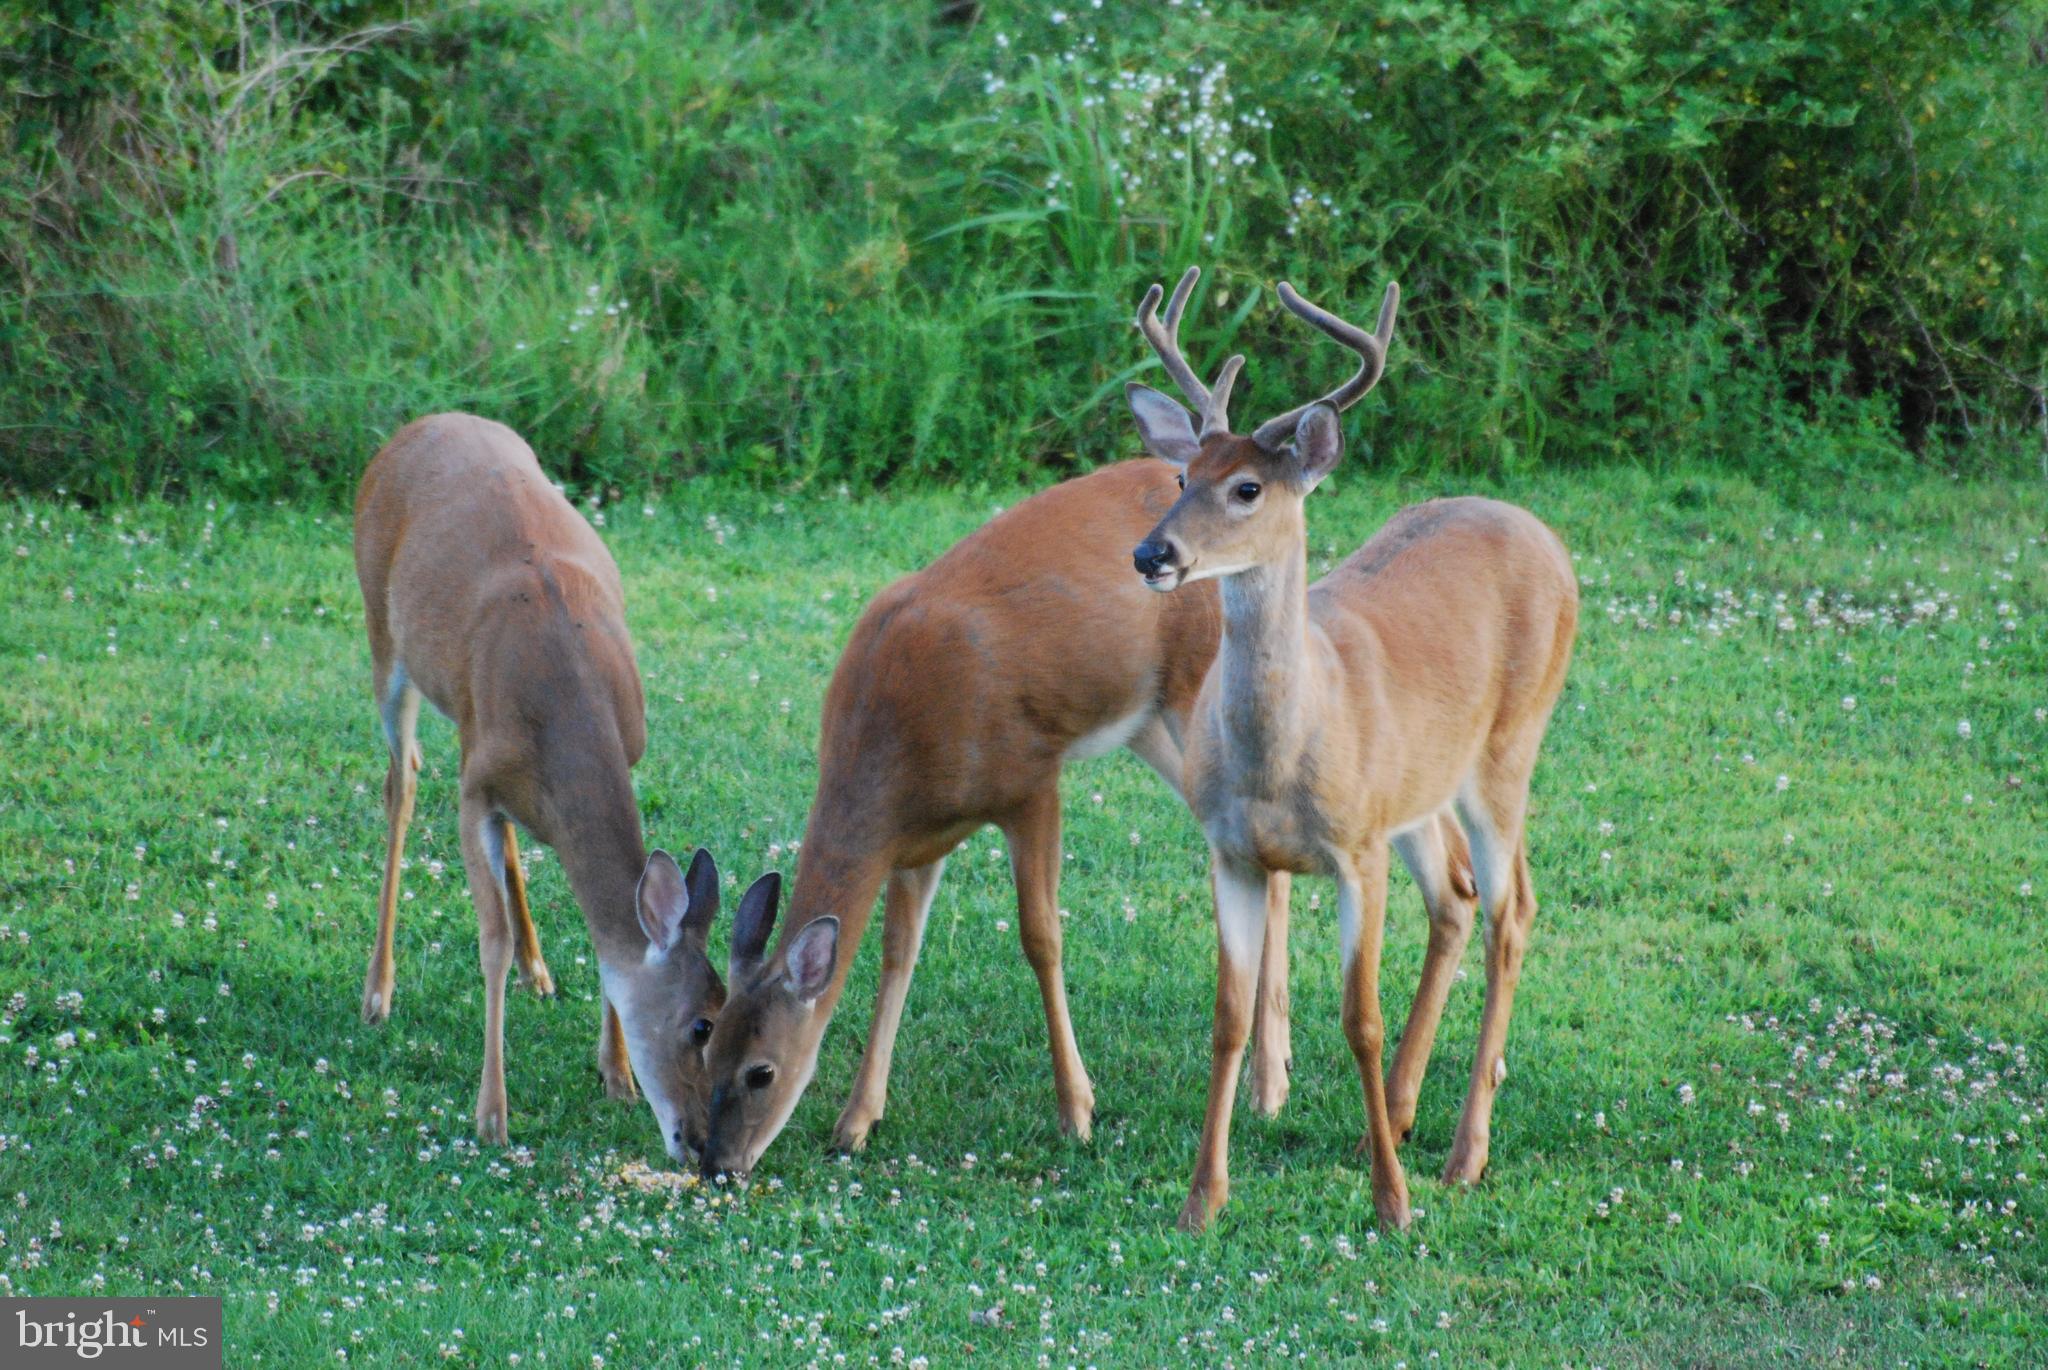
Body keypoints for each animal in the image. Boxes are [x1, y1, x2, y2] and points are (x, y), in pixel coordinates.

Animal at [354, 412, 745, 1163]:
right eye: (701, 1026)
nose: (700, 1146)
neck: (568, 705)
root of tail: (419, 426)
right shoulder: (473, 791)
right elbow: (491, 940)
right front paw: (492, 1115)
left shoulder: (620, 753)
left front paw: (617, 1074)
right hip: (382, 633)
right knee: (401, 779)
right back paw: (377, 993)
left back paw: (540, 972)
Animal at [694, 319, 1476, 1182]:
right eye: (704, 1045)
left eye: (761, 1071)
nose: (715, 1162)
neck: (894, 740)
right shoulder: (918, 837)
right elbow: (899, 952)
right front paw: (856, 1119)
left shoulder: (1030, 779)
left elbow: (1042, 937)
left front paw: (1078, 1108)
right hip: (1151, 728)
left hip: (1191, 701)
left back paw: (1271, 1082)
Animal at [1122, 269, 1578, 1233]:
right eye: (1181, 474)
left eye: (1247, 488)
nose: (1152, 553)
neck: (1278, 757)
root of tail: (1542, 532)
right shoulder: (1230, 852)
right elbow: (1228, 1017)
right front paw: (1202, 1199)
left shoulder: (1355, 848)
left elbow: (1357, 1018)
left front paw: (1391, 1204)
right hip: (1420, 786)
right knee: (1457, 895)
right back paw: (1400, 1115)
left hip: (1509, 746)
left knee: (1511, 910)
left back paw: (1462, 1155)